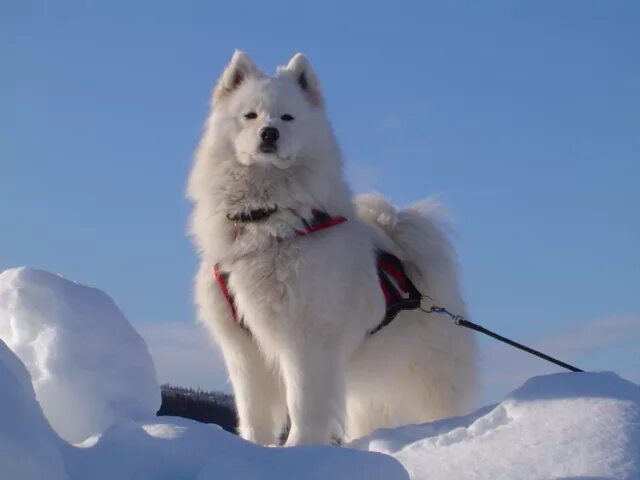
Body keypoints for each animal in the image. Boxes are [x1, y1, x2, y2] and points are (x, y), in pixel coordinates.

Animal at [185, 51, 476, 446]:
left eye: (287, 117)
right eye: (251, 115)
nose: (269, 133)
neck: (267, 221)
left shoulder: (306, 340)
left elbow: (304, 406)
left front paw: (300, 449)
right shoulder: (244, 349)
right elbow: (254, 416)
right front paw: (257, 449)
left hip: (428, 379)